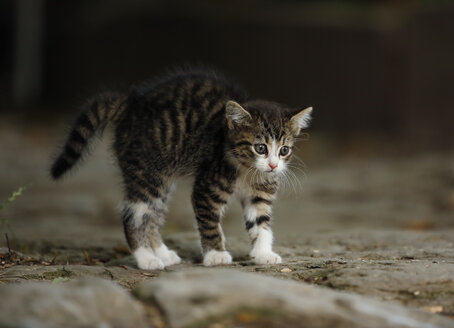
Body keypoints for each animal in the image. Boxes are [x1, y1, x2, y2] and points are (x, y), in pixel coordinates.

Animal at [50, 66, 312, 270]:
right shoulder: (207, 187)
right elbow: (209, 224)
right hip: (146, 171)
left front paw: (263, 253)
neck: (248, 170)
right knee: (133, 213)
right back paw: (146, 259)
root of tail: (133, 105)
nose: (273, 165)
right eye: (260, 148)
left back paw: (162, 253)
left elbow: (261, 222)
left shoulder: (260, 193)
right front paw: (216, 255)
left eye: (284, 150)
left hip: (161, 178)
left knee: (152, 214)